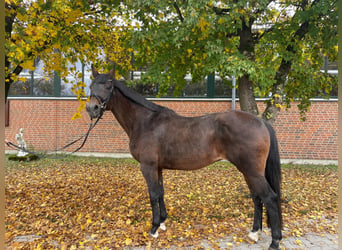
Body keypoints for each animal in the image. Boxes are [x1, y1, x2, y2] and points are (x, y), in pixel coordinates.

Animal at [86, 68, 284, 250]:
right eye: (91, 85)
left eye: (109, 85)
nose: (91, 108)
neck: (145, 122)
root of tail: (260, 122)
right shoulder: (157, 167)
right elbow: (160, 192)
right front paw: (163, 222)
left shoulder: (148, 167)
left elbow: (153, 194)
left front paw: (154, 228)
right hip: (248, 171)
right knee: (257, 198)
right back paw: (254, 233)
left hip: (252, 171)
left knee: (269, 197)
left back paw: (274, 241)